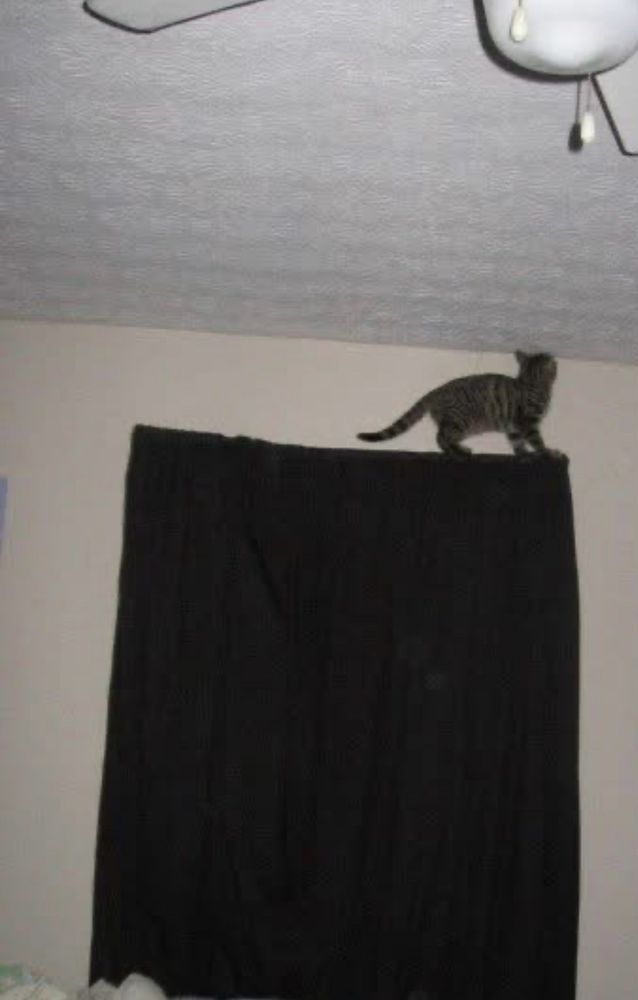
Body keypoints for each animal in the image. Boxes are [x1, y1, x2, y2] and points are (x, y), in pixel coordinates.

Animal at [357, 351, 559, 456]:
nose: (555, 362)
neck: (530, 382)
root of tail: (436, 390)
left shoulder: (513, 426)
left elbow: (517, 442)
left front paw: (524, 454)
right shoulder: (527, 421)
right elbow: (537, 441)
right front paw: (548, 452)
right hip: (460, 421)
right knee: (441, 437)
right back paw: (457, 451)